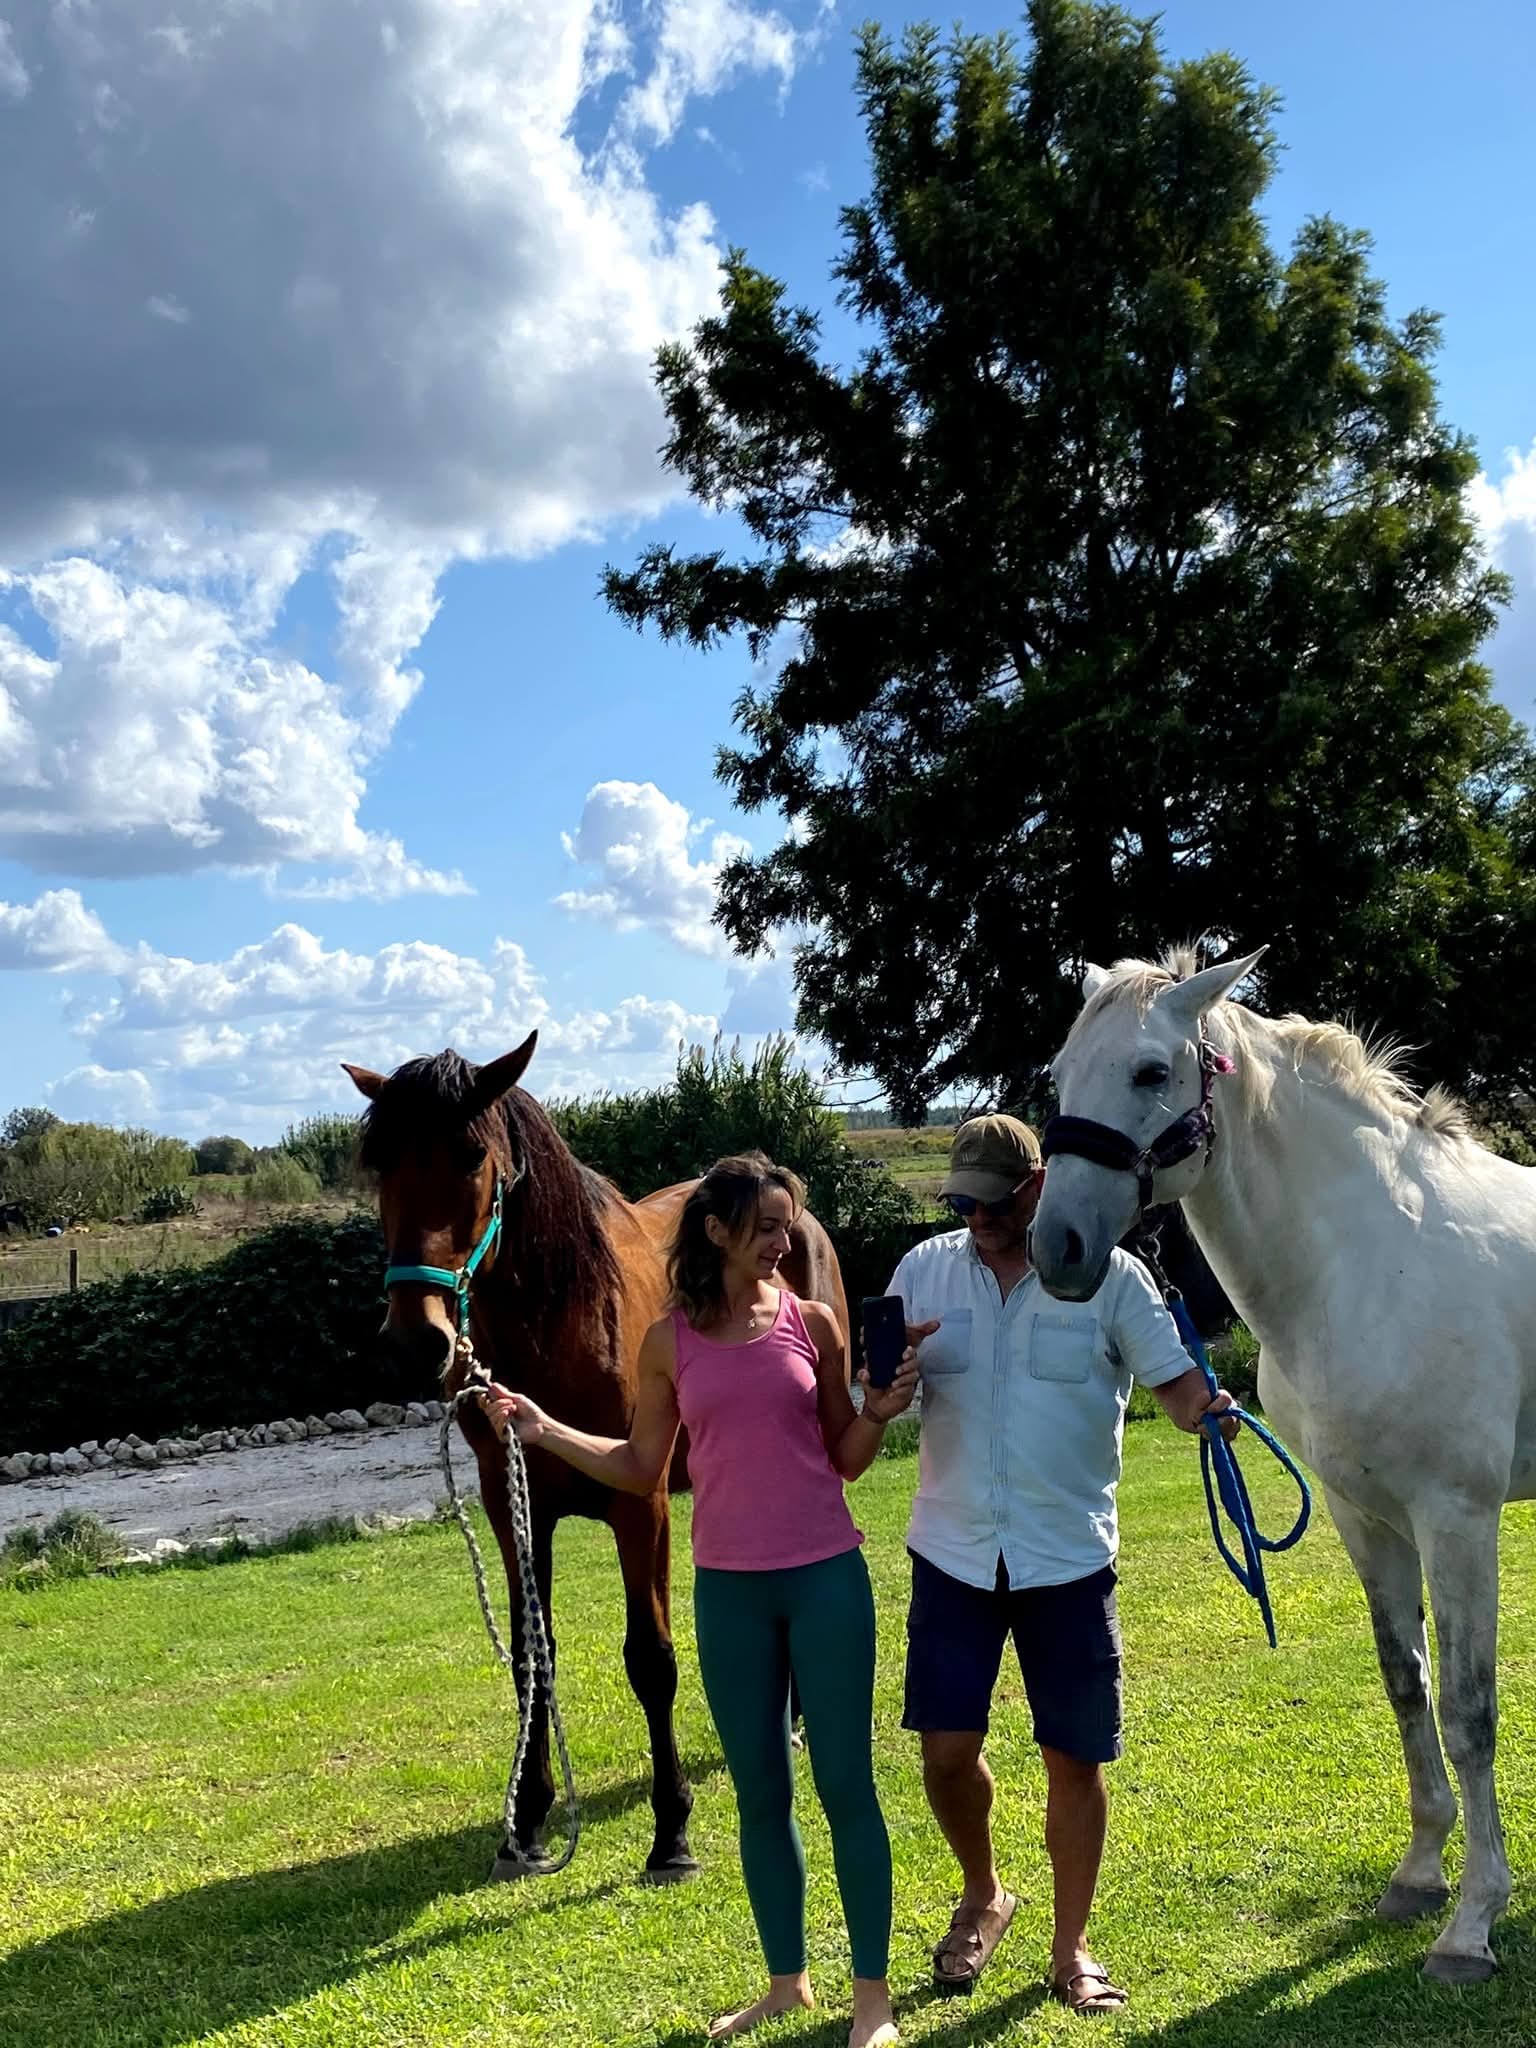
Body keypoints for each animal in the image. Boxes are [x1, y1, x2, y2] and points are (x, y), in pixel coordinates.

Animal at [342, 1032, 849, 1883]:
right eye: (380, 1162)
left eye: (470, 1155)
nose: (416, 1342)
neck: (559, 1322)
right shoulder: (513, 1504)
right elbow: (531, 1657)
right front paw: (526, 1819)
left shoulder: (637, 1505)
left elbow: (651, 1659)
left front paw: (671, 1831)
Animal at [1030, 945, 1536, 1983]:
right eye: (1058, 1077)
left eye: (1151, 1072)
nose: (1055, 1249)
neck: (1366, 1261)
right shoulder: (1363, 1514)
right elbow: (1405, 1682)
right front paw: (1419, 1878)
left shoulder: (1457, 1519)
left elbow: (1469, 1712)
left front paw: (1471, 1924)